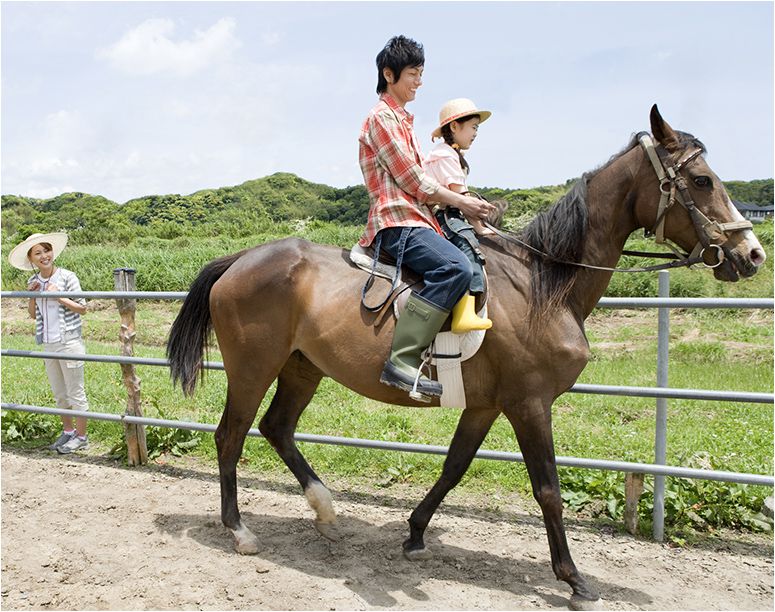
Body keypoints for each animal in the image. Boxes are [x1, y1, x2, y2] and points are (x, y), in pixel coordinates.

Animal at [166, 106, 765, 610]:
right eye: (701, 180)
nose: (752, 254)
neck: (541, 285)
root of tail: (242, 258)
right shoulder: (529, 403)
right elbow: (548, 489)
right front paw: (573, 578)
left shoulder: (485, 405)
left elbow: (454, 467)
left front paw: (414, 534)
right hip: (253, 367)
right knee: (231, 435)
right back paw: (240, 531)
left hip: (302, 366)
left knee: (277, 428)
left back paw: (326, 512)